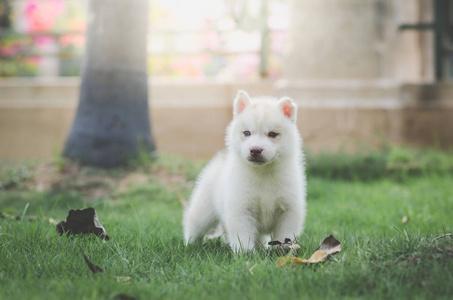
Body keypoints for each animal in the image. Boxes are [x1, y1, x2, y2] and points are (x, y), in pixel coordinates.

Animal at [182, 89, 306, 253]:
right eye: (247, 133)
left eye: (272, 134)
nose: (255, 150)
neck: (264, 174)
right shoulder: (241, 209)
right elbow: (243, 236)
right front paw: (246, 254)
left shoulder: (289, 210)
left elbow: (285, 235)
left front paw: (283, 251)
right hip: (204, 210)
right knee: (193, 223)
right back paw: (190, 244)